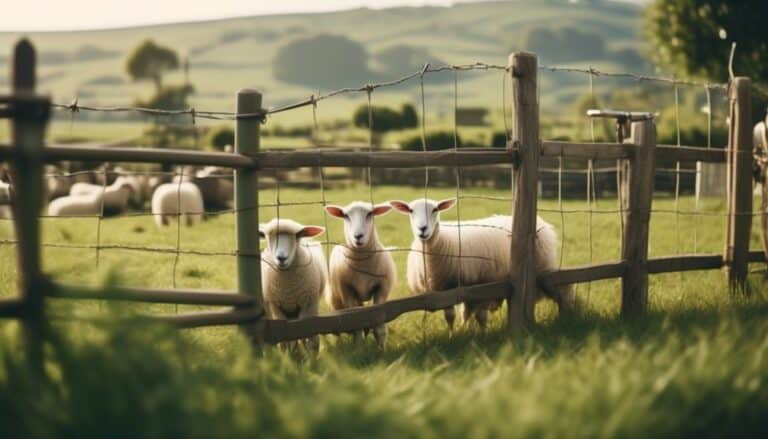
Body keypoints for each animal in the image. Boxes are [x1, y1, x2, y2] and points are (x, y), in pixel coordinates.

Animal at [260, 220, 328, 354]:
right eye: (268, 236)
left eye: (297, 236)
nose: (281, 258)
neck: (288, 289)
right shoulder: (275, 307)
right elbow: (284, 341)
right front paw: (286, 355)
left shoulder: (308, 305)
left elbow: (307, 334)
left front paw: (310, 356)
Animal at [324, 201, 396, 348]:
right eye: (345, 216)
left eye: (370, 214)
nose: (358, 236)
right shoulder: (347, 292)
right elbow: (356, 323)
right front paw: (358, 348)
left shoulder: (382, 289)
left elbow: (379, 326)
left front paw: (381, 349)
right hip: (335, 300)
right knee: (337, 330)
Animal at [388, 199, 572, 330]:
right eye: (411, 210)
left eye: (435, 210)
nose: (423, 229)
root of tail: (541, 223)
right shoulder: (444, 291)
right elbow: (453, 317)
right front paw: (456, 334)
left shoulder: (482, 286)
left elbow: (480, 317)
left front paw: (479, 333)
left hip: (541, 268)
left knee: (560, 289)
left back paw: (567, 315)